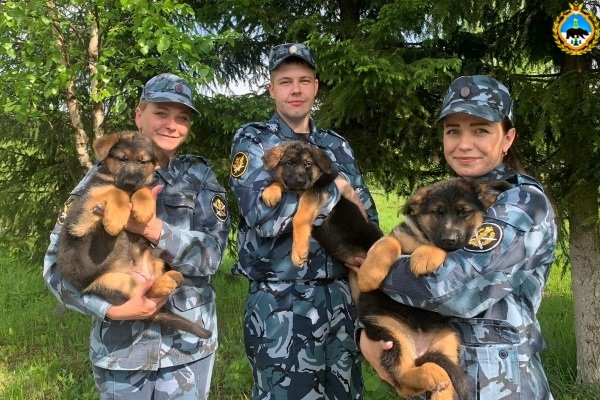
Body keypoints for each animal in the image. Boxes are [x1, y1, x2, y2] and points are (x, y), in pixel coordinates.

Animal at [54, 130, 213, 338]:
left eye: (142, 162)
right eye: (122, 159)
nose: (130, 183)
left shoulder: (140, 187)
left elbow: (143, 189)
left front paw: (143, 207)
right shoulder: (82, 216)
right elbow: (114, 191)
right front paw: (115, 220)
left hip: (156, 258)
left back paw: (171, 277)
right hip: (116, 282)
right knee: (142, 293)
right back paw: (163, 283)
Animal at [258, 141, 510, 400]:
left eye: (464, 213)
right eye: (289, 163)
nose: (298, 179)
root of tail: (420, 347)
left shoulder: (319, 189)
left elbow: (300, 215)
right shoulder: (392, 235)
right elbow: (387, 244)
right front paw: (271, 191)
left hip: (447, 339)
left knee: (422, 378)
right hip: (391, 331)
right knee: (405, 377)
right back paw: (432, 375)